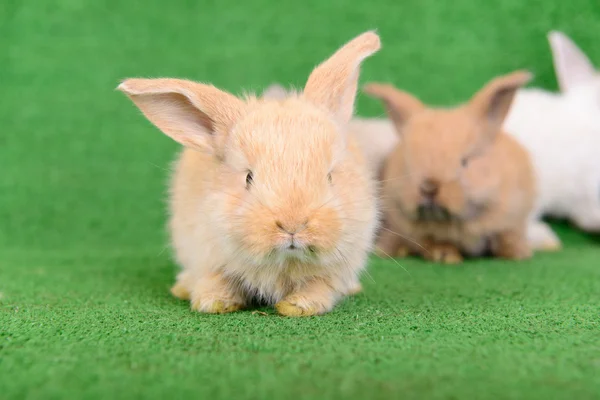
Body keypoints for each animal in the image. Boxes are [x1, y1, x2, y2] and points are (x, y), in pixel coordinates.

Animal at [117, 31, 380, 318]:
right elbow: (215, 280)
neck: (284, 261)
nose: (292, 226)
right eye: (248, 178)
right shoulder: (206, 254)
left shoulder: (335, 269)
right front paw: (213, 303)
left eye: (330, 176)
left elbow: (319, 287)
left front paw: (296, 307)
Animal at [364, 71, 536, 266]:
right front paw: (445, 256)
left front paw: (519, 254)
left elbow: (507, 236)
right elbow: (434, 242)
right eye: (408, 163)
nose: (428, 188)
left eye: (464, 161)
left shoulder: (513, 218)